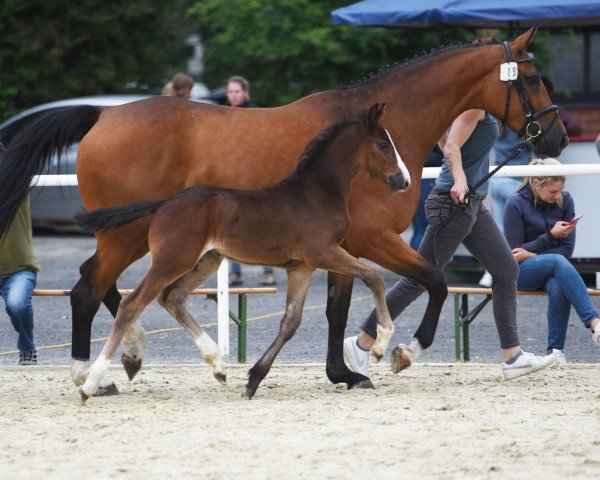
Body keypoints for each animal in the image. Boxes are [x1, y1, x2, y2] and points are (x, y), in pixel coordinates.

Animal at [75, 105, 410, 402]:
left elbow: (291, 322)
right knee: (132, 303)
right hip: (172, 260)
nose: (403, 180)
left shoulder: (301, 267)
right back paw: (90, 383)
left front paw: (252, 381)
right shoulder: (323, 253)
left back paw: (218, 366)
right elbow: (374, 277)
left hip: (206, 260)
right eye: (383, 143)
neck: (318, 192)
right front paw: (381, 344)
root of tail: (165, 203)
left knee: (172, 297)